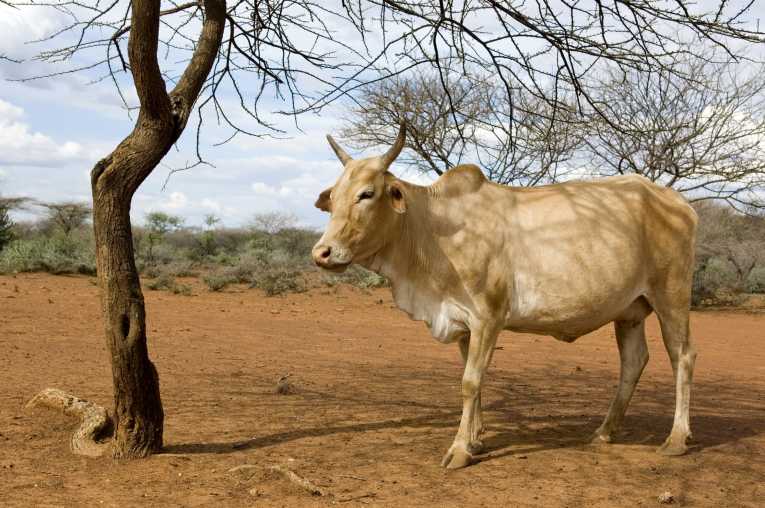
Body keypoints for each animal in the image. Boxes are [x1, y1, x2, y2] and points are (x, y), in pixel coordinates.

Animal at [311, 124, 698, 469]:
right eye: (334, 198)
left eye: (367, 194)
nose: (322, 253)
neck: (431, 230)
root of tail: (678, 201)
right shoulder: (463, 324)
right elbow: (475, 381)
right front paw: (475, 440)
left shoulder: (488, 317)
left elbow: (470, 382)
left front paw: (459, 450)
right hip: (629, 310)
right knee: (633, 361)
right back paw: (604, 432)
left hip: (672, 296)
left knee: (682, 356)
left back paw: (676, 439)